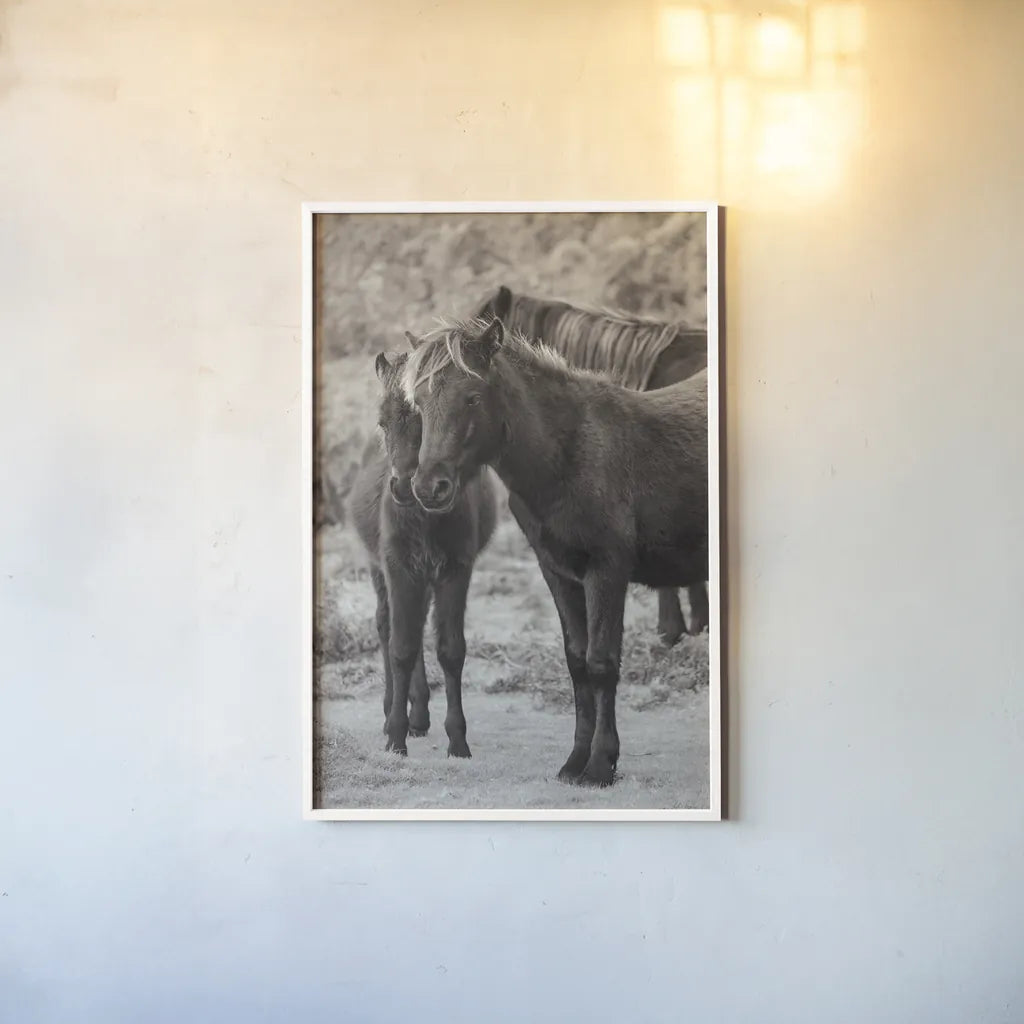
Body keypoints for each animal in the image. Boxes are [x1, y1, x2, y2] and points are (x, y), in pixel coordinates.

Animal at [347, 350, 497, 758]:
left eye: (423, 421)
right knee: (388, 627)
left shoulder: (455, 571)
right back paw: (395, 714)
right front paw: (395, 736)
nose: (403, 486)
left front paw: (457, 740)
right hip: (382, 571)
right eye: (383, 422)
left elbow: (450, 650)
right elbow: (400, 647)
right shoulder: (398, 568)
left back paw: (419, 716)